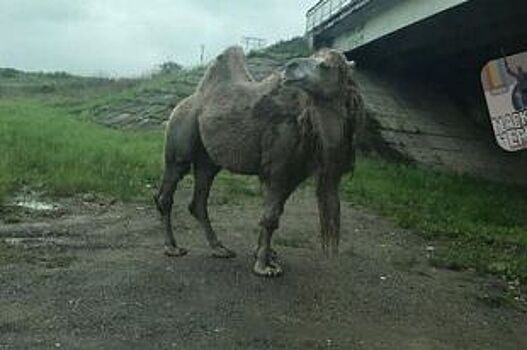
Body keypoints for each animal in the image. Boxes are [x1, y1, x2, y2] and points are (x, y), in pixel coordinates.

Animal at [155, 45, 366, 276]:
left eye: (325, 65)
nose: (290, 67)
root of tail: (180, 105)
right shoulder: (277, 167)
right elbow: (271, 216)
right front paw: (264, 266)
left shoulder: (295, 174)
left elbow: (275, 212)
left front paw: (264, 254)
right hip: (180, 133)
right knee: (170, 184)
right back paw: (172, 247)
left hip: (207, 159)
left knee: (200, 196)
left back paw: (220, 248)